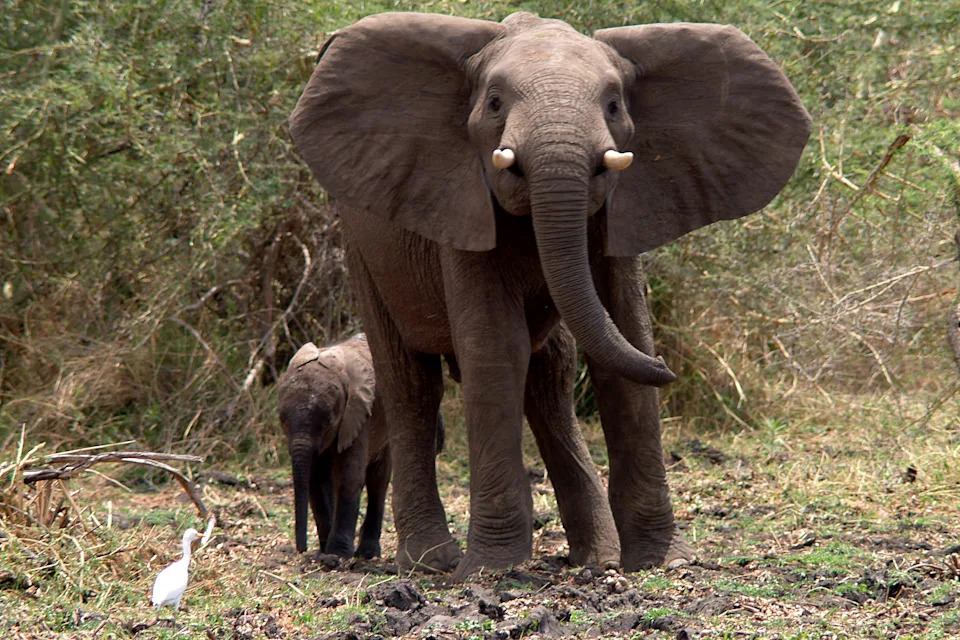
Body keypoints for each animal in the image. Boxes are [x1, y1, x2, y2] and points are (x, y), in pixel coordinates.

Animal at [289, 11, 810, 578]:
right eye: (494, 102)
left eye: (614, 104)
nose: (671, 368)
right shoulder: (460, 203)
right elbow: (498, 350)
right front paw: (493, 572)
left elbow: (624, 337)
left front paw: (661, 563)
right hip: (362, 245)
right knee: (411, 382)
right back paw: (428, 564)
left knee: (551, 381)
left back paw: (596, 559)